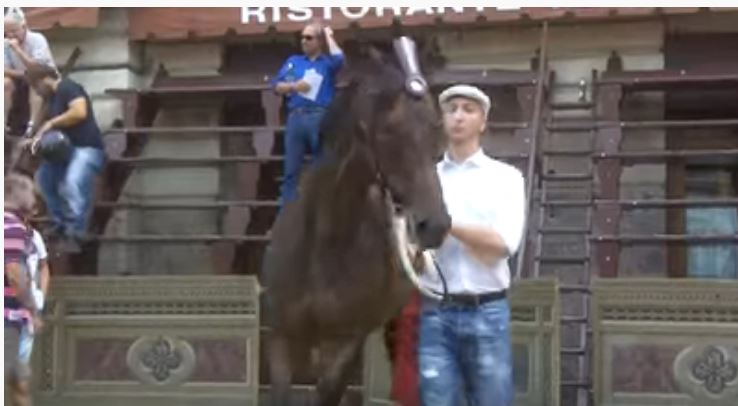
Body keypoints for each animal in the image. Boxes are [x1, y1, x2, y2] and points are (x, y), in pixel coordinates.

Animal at [263, 37, 449, 406]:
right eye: (390, 131)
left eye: (436, 129)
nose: (435, 225)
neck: (324, 243)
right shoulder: (282, 337)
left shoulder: (344, 342)